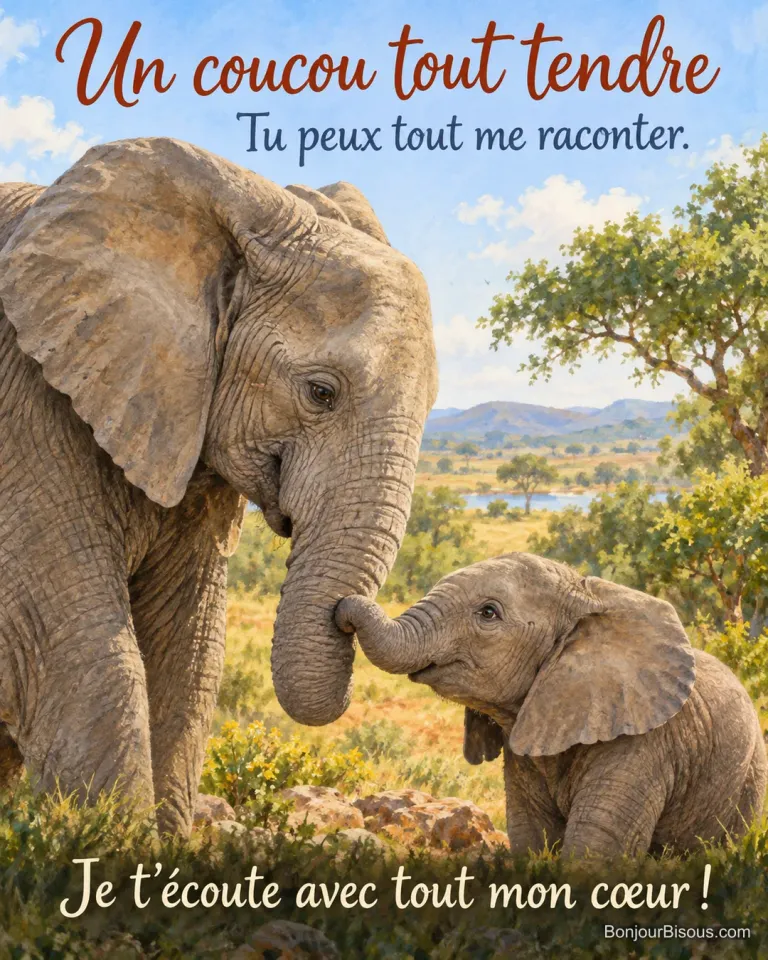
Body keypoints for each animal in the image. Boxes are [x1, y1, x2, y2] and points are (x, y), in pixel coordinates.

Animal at [337, 553, 768, 857]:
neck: (587, 600)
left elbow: (595, 852)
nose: (342, 606)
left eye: (488, 613)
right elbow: (532, 837)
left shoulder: (646, 746)